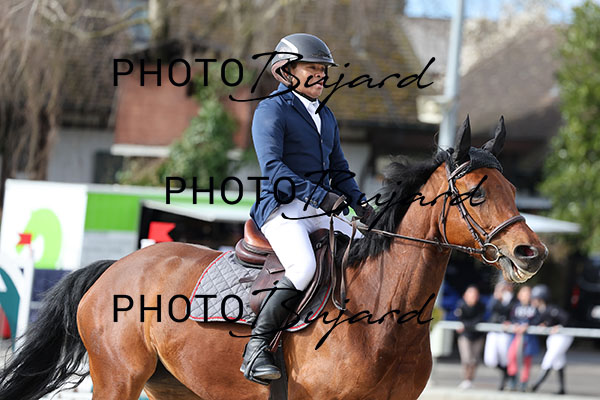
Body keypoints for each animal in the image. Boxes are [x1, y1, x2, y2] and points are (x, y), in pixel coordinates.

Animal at [0, 116, 547, 400]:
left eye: (514, 189)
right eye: (476, 194)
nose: (531, 253)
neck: (382, 317)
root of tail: (115, 268)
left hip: (175, 386)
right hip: (118, 379)